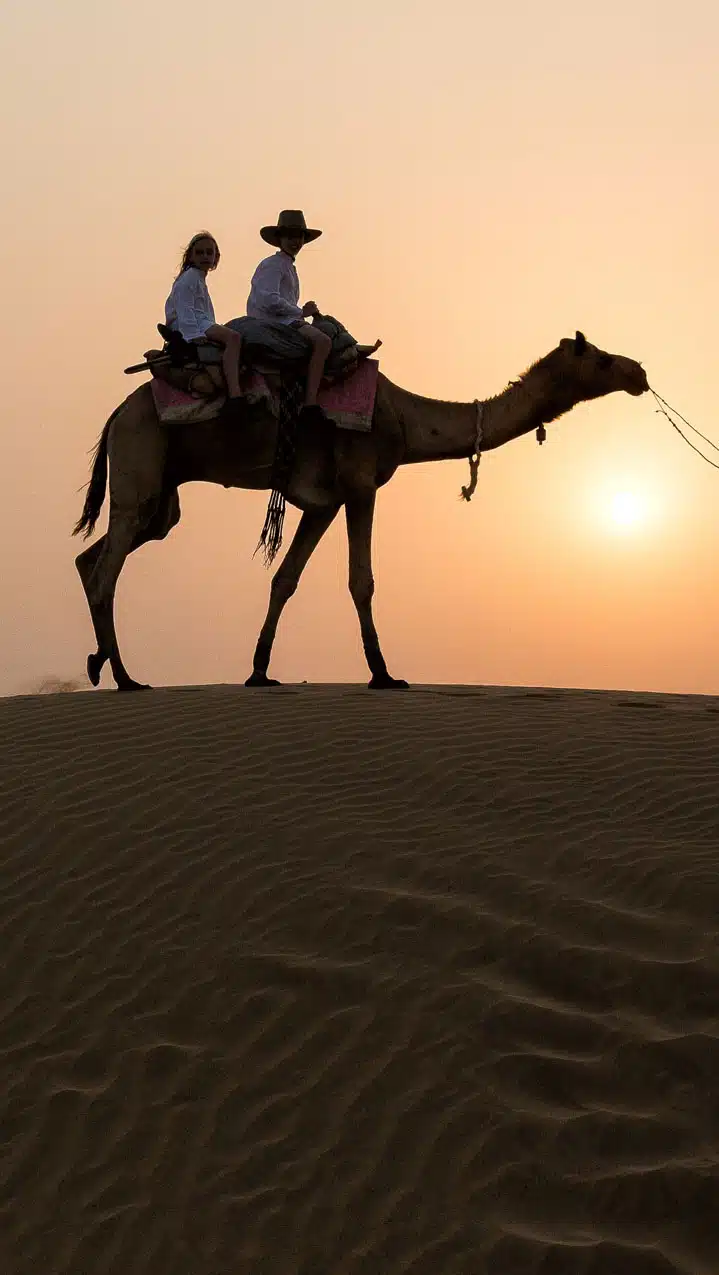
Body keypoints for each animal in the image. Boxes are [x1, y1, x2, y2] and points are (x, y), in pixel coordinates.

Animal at [73, 331, 648, 691]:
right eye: (599, 358)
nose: (639, 371)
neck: (406, 417)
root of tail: (115, 414)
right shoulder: (361, 482)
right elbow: (361, 580)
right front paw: (384, 675)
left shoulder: (323, 502)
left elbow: (284, 579)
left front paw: (259, 671)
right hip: (142, 458)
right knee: (106, 570)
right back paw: (126, 678)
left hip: (160, 495)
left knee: (97, 554)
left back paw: (99, 663)